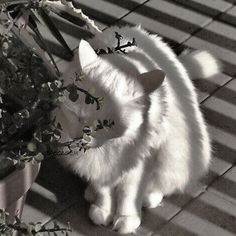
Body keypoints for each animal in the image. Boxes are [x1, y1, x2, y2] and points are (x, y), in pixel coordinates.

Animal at [54, 26, 220, 234]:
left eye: (106, 124)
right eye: (77, 115)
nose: (82, 136)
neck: (112, 148)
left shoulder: (140, 163)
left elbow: (129, 194)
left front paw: (126, 219)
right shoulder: (101, 165)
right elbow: (103, 189)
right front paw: (103, 209)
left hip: (175, 156)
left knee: (161, 185)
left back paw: (149, 198)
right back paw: (91, 192)